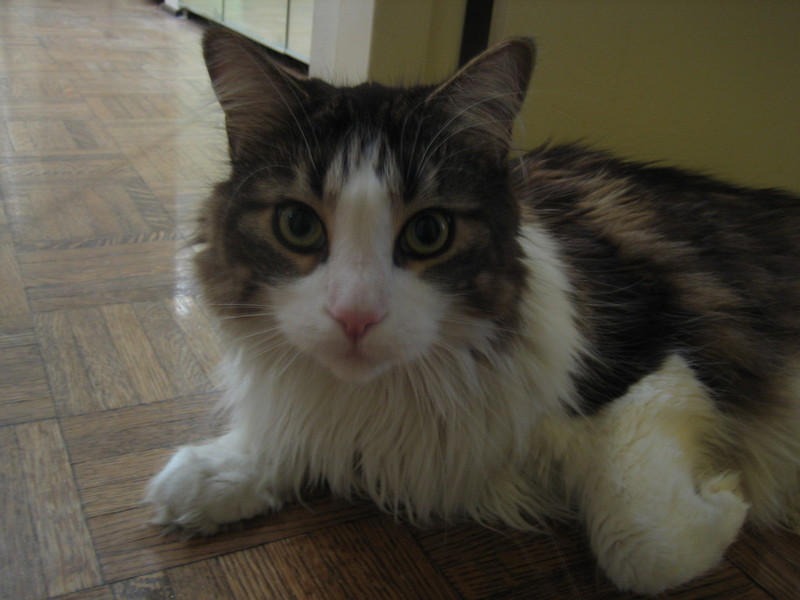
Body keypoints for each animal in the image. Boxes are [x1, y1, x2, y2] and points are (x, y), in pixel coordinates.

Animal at [145, 29, 800, 596]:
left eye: (429, 232)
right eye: (297, 224)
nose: (355, 316)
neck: (395, 392)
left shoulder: (659, 363)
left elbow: (642, 543)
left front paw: (727, 496)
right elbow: (294, 434)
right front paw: (216, 474)